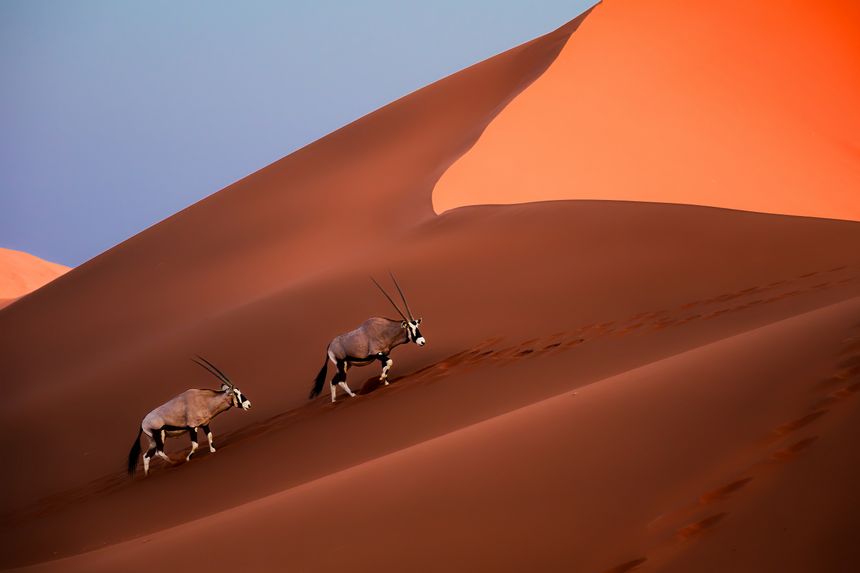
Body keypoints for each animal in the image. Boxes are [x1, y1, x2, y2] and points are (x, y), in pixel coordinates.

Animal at [309, 273, 426, 403]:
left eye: (417, 326)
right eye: (410, 327)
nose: (422, 341)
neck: (384, 330)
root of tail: (329, 346)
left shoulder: (384, 354)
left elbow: (386, 365)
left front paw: (386, 383)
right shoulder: (376, 353)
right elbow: (390, 362)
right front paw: (381, 378)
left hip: (347, 365)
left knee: (333, 381)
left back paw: (334, 401)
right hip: (341, 364)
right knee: (341, 381)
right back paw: (353, 395)